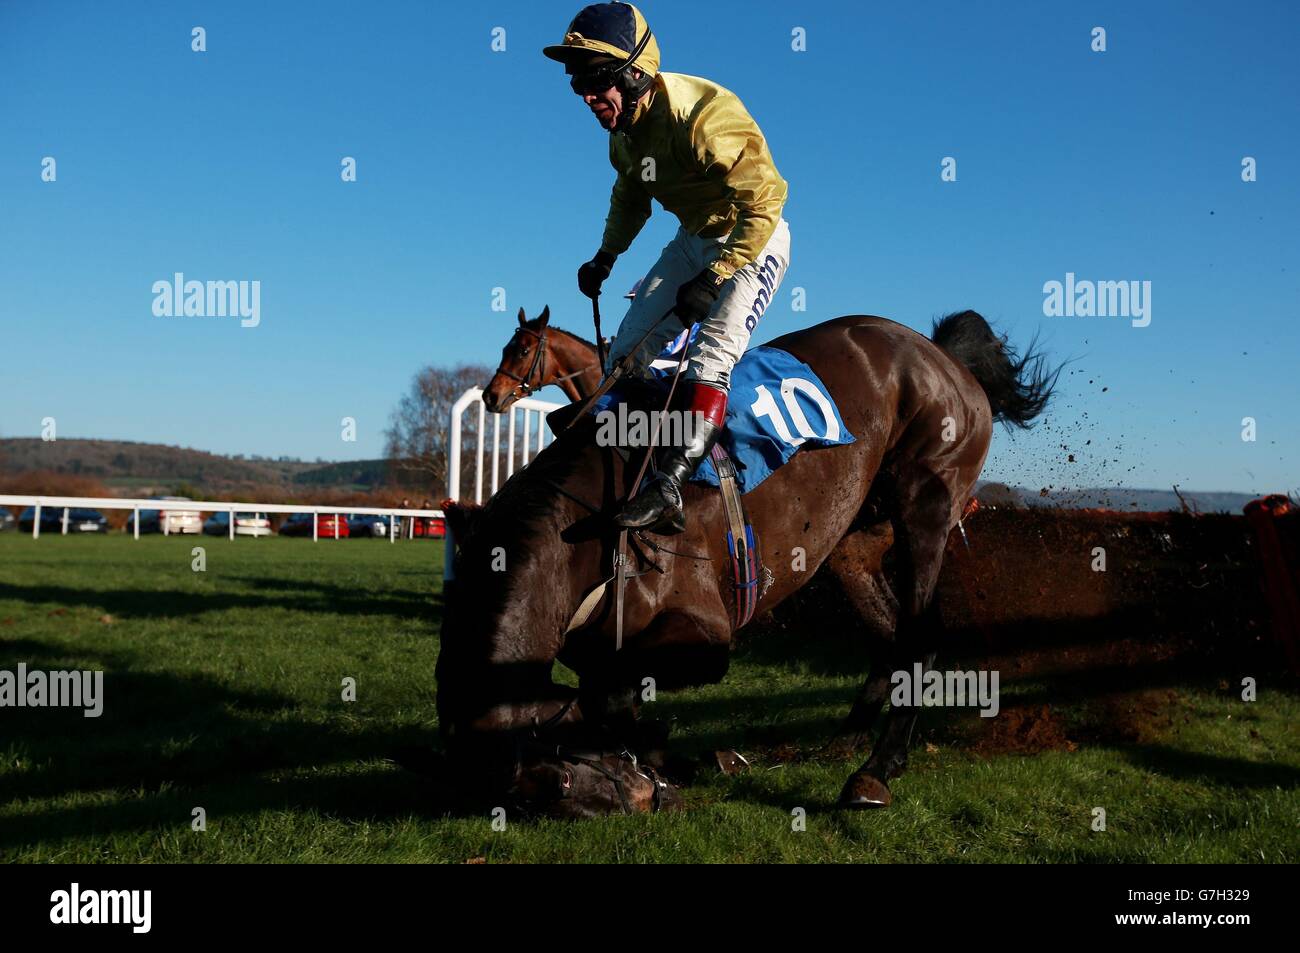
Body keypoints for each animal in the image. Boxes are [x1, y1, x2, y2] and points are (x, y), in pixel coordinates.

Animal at [436, 308, 1055, 816]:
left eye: (522, 349)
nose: (493, 396)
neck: (592, 520)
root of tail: (945, 357)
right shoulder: (596, 645)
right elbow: (608, 698)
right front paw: (669, 755)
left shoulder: (703, 630)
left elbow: (611, 696)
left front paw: (674, 755)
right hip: (852, 539)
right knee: (887, 633)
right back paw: (847, 740)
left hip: (926, 502)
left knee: (920, 635)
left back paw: (875, 772)